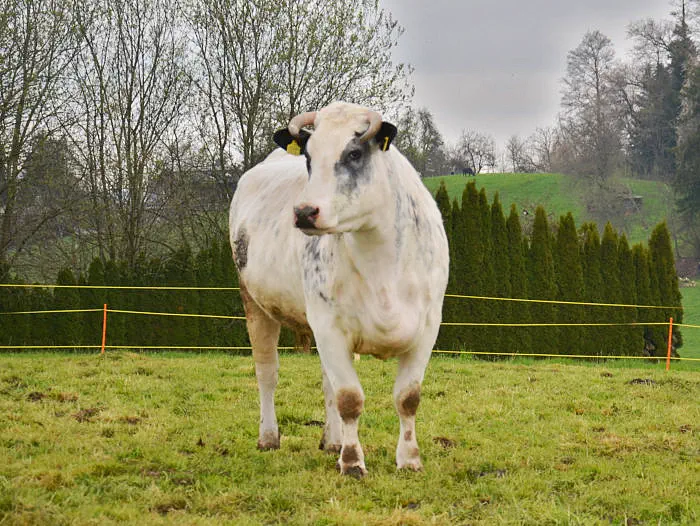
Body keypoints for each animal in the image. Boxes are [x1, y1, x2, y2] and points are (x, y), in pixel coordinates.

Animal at [229, 101, 449, 477]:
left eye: (355, 153)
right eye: (308, 158)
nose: (304, 212)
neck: (383, 268)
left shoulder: (428, 327)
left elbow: (407, 397)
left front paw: (409, 459)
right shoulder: (328, 325)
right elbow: (349, 397)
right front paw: (351, 461)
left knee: (325, 381)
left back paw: (331, 440)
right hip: (255, 304)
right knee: (267, 373)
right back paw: (269, 437)